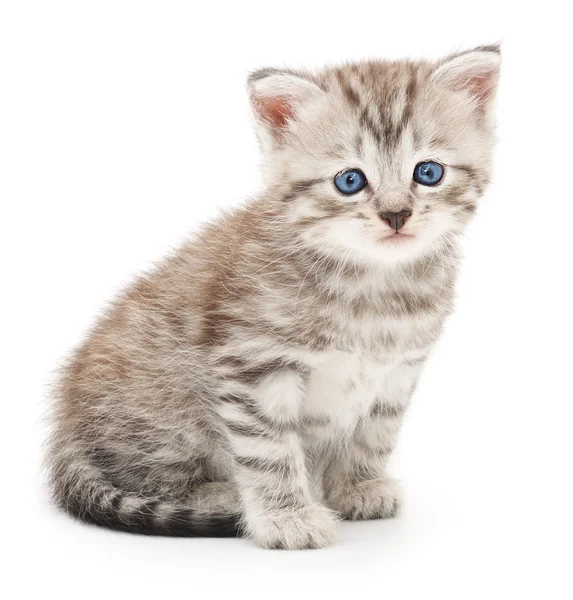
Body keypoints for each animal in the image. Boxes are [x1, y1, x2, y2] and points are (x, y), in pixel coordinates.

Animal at [47, 45, 498, 548]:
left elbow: (375, 433)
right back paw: (224, 495)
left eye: (428, 172)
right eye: (349, 181)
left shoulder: (399, 370)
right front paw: (287, 516)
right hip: (163, 410)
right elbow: (269, 449)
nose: (396, 214)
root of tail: (65, 429)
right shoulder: (252, 366)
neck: (371, 285)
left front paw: (358, 485)